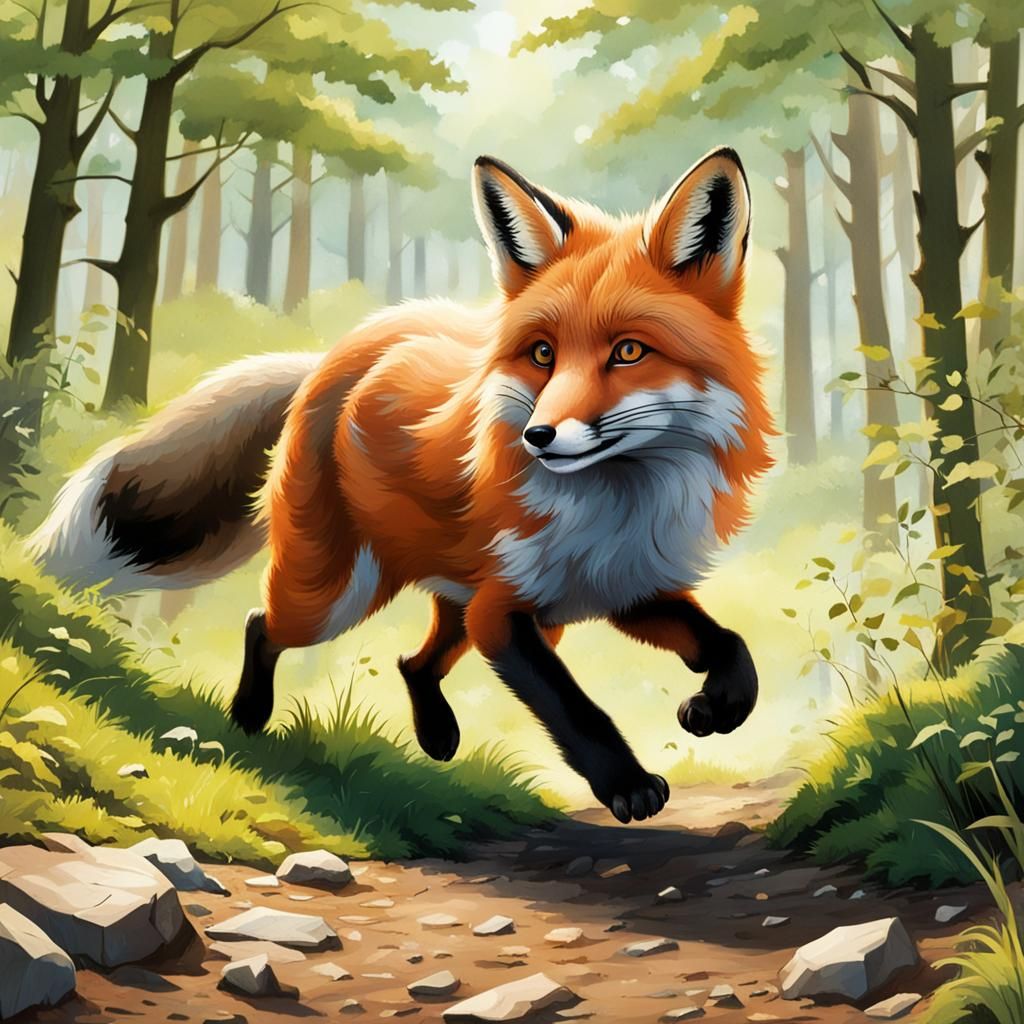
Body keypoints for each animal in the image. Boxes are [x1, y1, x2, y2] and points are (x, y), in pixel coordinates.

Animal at [32, 148, 774, 824]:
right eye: (543, 354)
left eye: (628, 352)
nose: (539, 436)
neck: (612, 508)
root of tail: (333, 356)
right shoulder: (505, 615)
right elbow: (575, 710)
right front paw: (627, 784)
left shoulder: (624, 587)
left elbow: (732, 647)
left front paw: (714, 707)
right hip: (337, 594)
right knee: (262, 624)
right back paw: (247, 717)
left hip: (475, 605)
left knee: (414, 663)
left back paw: (436, 734)